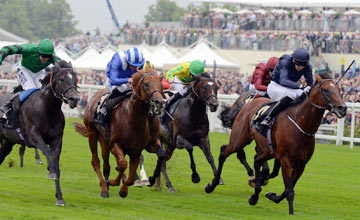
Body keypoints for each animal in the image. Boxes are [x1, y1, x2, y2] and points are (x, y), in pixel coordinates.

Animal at [0, 60, 79, 206]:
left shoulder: (57, 140)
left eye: (76, 79)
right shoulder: (33, 136)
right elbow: (47, 152)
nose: (75, 99)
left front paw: (59, 198)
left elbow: (56, 164)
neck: (47, 109)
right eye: (61, 79)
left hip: (8, 142)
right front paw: (50, 171)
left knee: (1, 156)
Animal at [73, 69, 166, 198]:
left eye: (161, 85)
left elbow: (132, 174)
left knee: (107, 164)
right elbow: (123, 163)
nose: (159, 102)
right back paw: (104, 188)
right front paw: (113, 182)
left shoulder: (138, 149)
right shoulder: (115, 145)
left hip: (104, 141)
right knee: (96, 161)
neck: (132, 119)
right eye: (146, 84)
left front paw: (127, 187)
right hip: (93, 133)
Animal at [207, 73, 348, 214]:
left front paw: (272, 196)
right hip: (239, 140)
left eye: (339, 90)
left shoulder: (301, 164)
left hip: (268, 150)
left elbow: (287, 188)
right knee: (224, 152)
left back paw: (254, 194)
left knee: (256, 159)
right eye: (325, 90)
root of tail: (248, 103)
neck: (300, 124)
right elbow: (289, 190)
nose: (343, 108)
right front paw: (291, 213)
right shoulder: (285, 160)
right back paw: (212, 184)